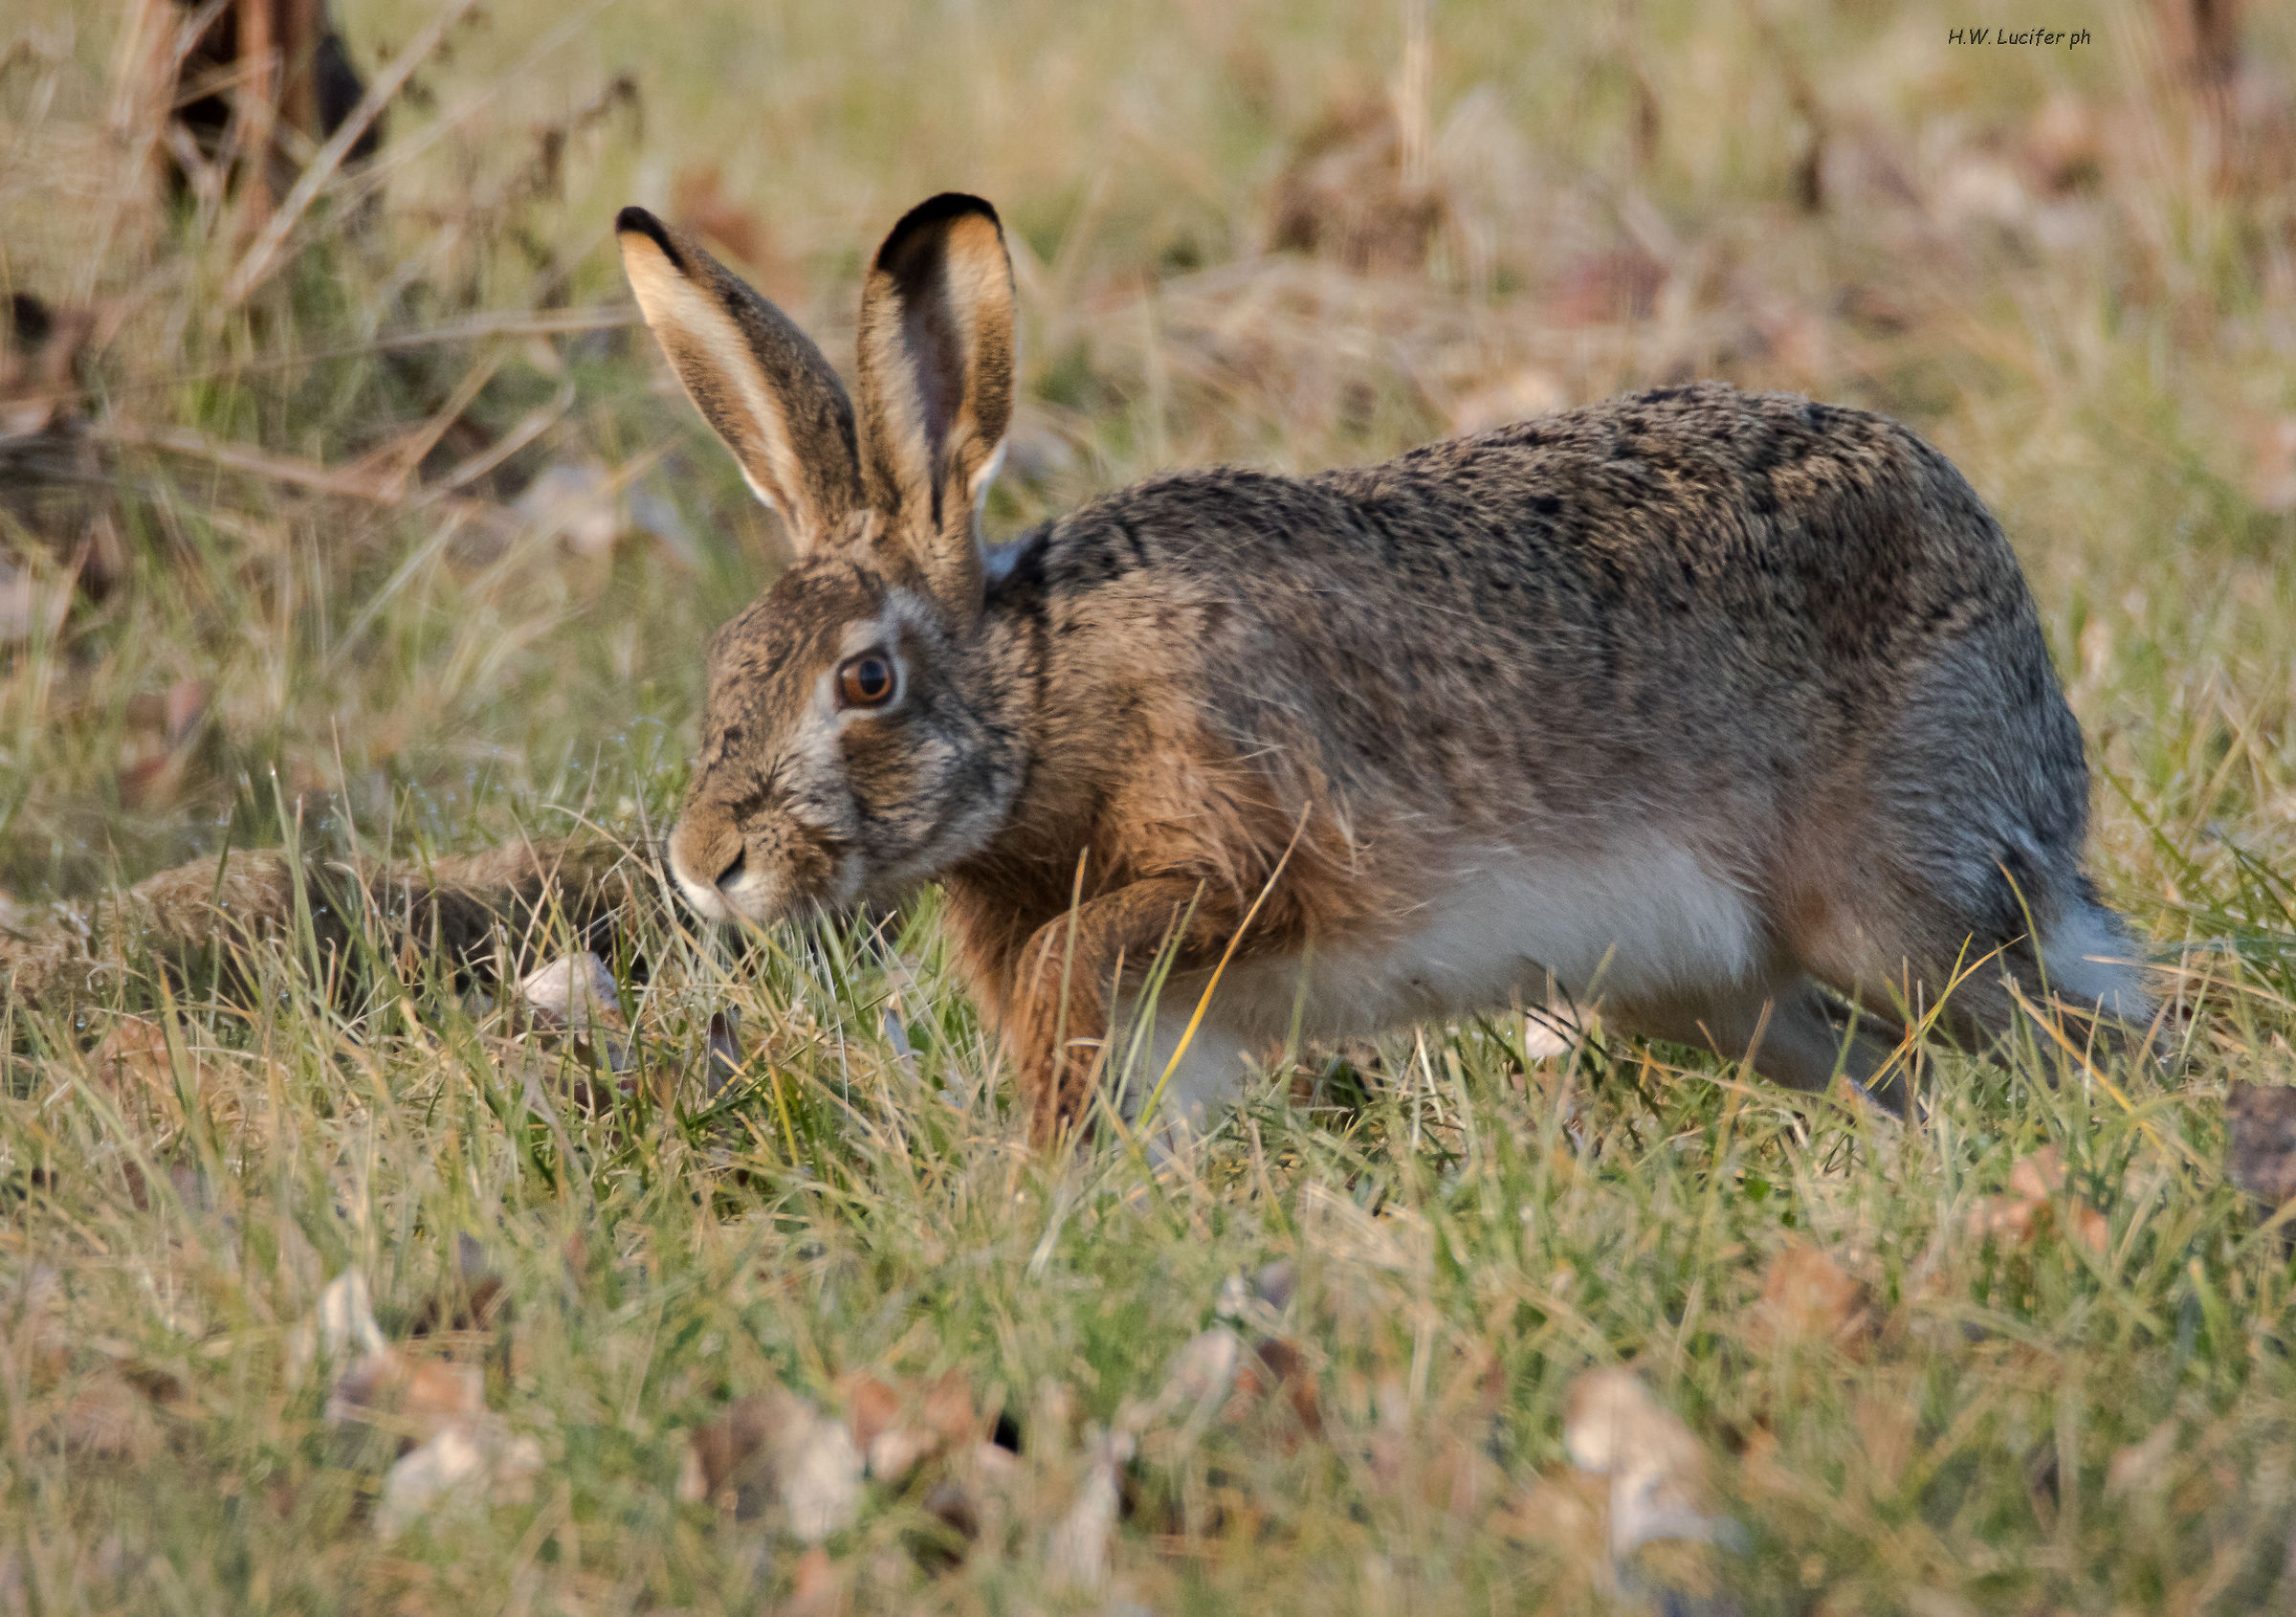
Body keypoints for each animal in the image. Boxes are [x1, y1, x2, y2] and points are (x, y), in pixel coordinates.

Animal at [615, 191, 2150, 1144]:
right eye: (730, 658)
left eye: (865, 682)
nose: (705, 865)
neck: (1042, 698)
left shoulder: (1244, 860)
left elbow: (1081, 951)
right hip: (1717, 994)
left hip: (1893, 910)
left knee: (2077, 1022)